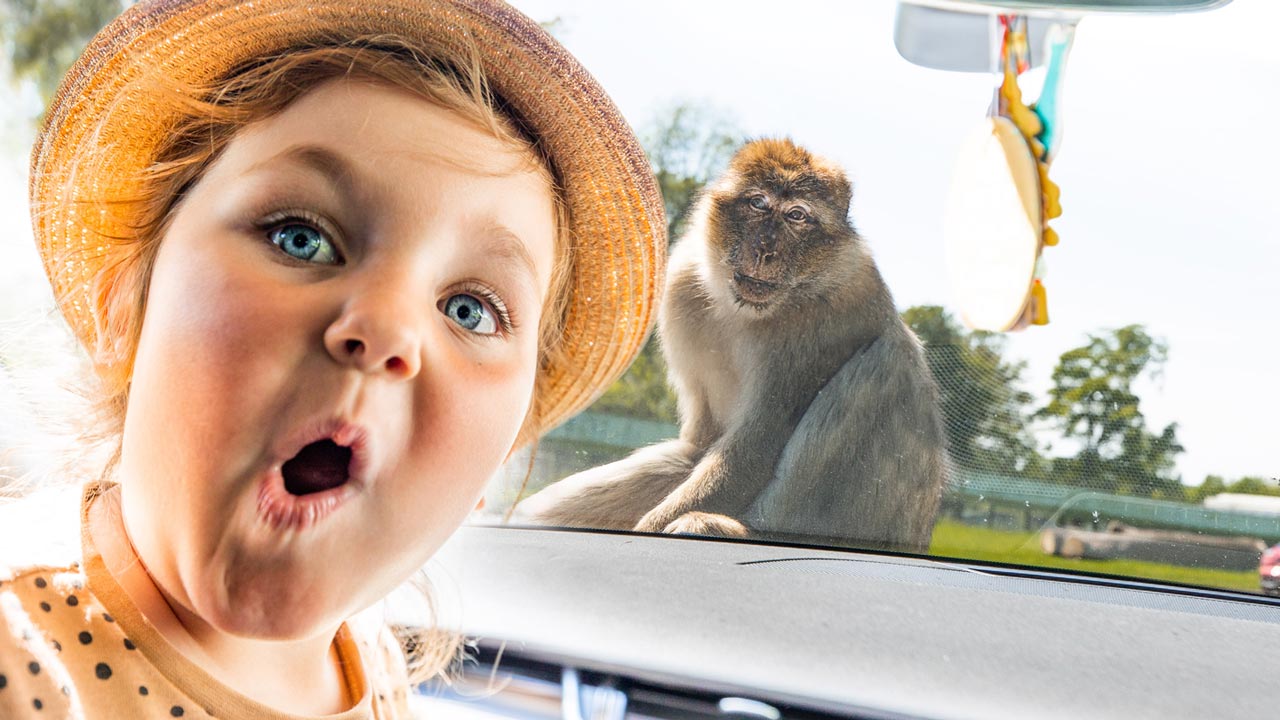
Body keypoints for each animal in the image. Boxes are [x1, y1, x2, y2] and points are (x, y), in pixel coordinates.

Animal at [519, 137, 952, 550]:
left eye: (797, 215)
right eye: (758, 203)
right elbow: (700, 445)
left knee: (886, 364)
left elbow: (756, 444)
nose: (765, 249)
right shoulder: (682, 288)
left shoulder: (819, 323)